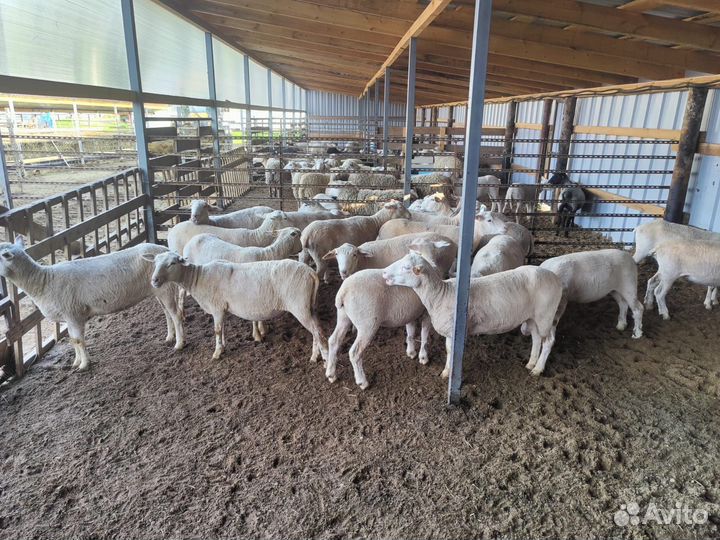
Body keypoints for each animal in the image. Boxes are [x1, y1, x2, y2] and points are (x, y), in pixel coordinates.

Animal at [0, 237, 183, 371]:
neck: (43, 281)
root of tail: (165, 250)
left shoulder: (73, 313)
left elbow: (78, 341)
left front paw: (83, 365)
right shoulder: (68, 317)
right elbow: (73, 340)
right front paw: (76, 362)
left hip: (165, 288)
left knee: (176, 314)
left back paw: (179, 343)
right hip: (157, 289)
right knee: (167, 313)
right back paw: (169, 337)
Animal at [147, 253, 328, 363]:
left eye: (172, 263)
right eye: (155, 263)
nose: (154, 280)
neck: (199, 278)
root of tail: (311, 273)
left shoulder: (216, 307)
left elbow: (217, 330)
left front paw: (216, 353)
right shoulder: (222, 308)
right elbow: (223, 329)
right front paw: (223, 347)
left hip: (300, 306)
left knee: (318, 332)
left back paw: (325, 361)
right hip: (309, 306)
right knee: (317, 330)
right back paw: (315, 356)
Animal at [325, 238, 456, 389]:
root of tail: (343, 291)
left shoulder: (409, 312)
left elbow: (410, 332)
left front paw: (411, 352)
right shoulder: (427, 312)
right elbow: (424, 334)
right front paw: (423, 357)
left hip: (343, 316)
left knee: (334, 341)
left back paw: (331, 374)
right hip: (367, 324)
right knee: (355, 352)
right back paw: (362, 382)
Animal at [382, 252, 563, 377]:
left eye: (406, 268)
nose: (383, 272)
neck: (441, 294)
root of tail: (556, 278)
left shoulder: (455, 330)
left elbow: (451, 352)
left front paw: (448, 373)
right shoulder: (449, 331)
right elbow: (448, 349)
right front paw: (447, 371)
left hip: (546, 315)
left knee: (548, 341)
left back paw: (538, 368)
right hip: (532, 317)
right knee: (537, 338)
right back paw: (531, 363)